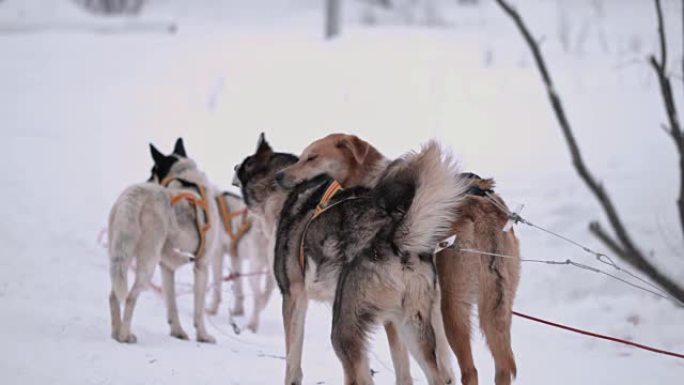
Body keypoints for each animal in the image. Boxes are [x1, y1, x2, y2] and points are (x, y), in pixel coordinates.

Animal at [206, 192, 276, 332]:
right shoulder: (235, 256)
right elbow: (238, 282)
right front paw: (238, 310)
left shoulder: (216, 254)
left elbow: (217, 285)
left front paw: (212, 309)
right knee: (266, 291)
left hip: (255, 267)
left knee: (258, 296)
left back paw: (252, 324)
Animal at [234, 134, 464, 384]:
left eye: (246, 163)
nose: (235, 166)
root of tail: (394, 236)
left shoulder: (293, 295)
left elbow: (292, 360)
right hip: (411, 325)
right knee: (437, 375)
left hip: (346, 329)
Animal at [276, 132, 520, 384]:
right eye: (301, 157)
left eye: (311, 158)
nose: (279, 176)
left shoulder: (297, 295)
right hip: (493, 307)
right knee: (501, 365)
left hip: (449, 309)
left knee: (469, 369)